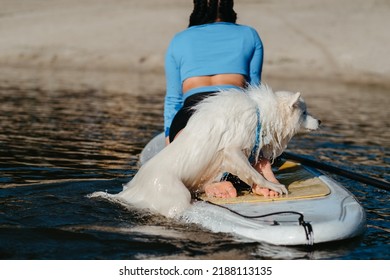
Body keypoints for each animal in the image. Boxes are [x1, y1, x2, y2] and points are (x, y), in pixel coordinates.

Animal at [90, 84, 320, 218]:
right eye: (304, 112)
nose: (320, 121)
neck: (260, 111)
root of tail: (130, 190)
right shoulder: (232, 149)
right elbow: (248, 169)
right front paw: (271, 185)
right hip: (173, 191)